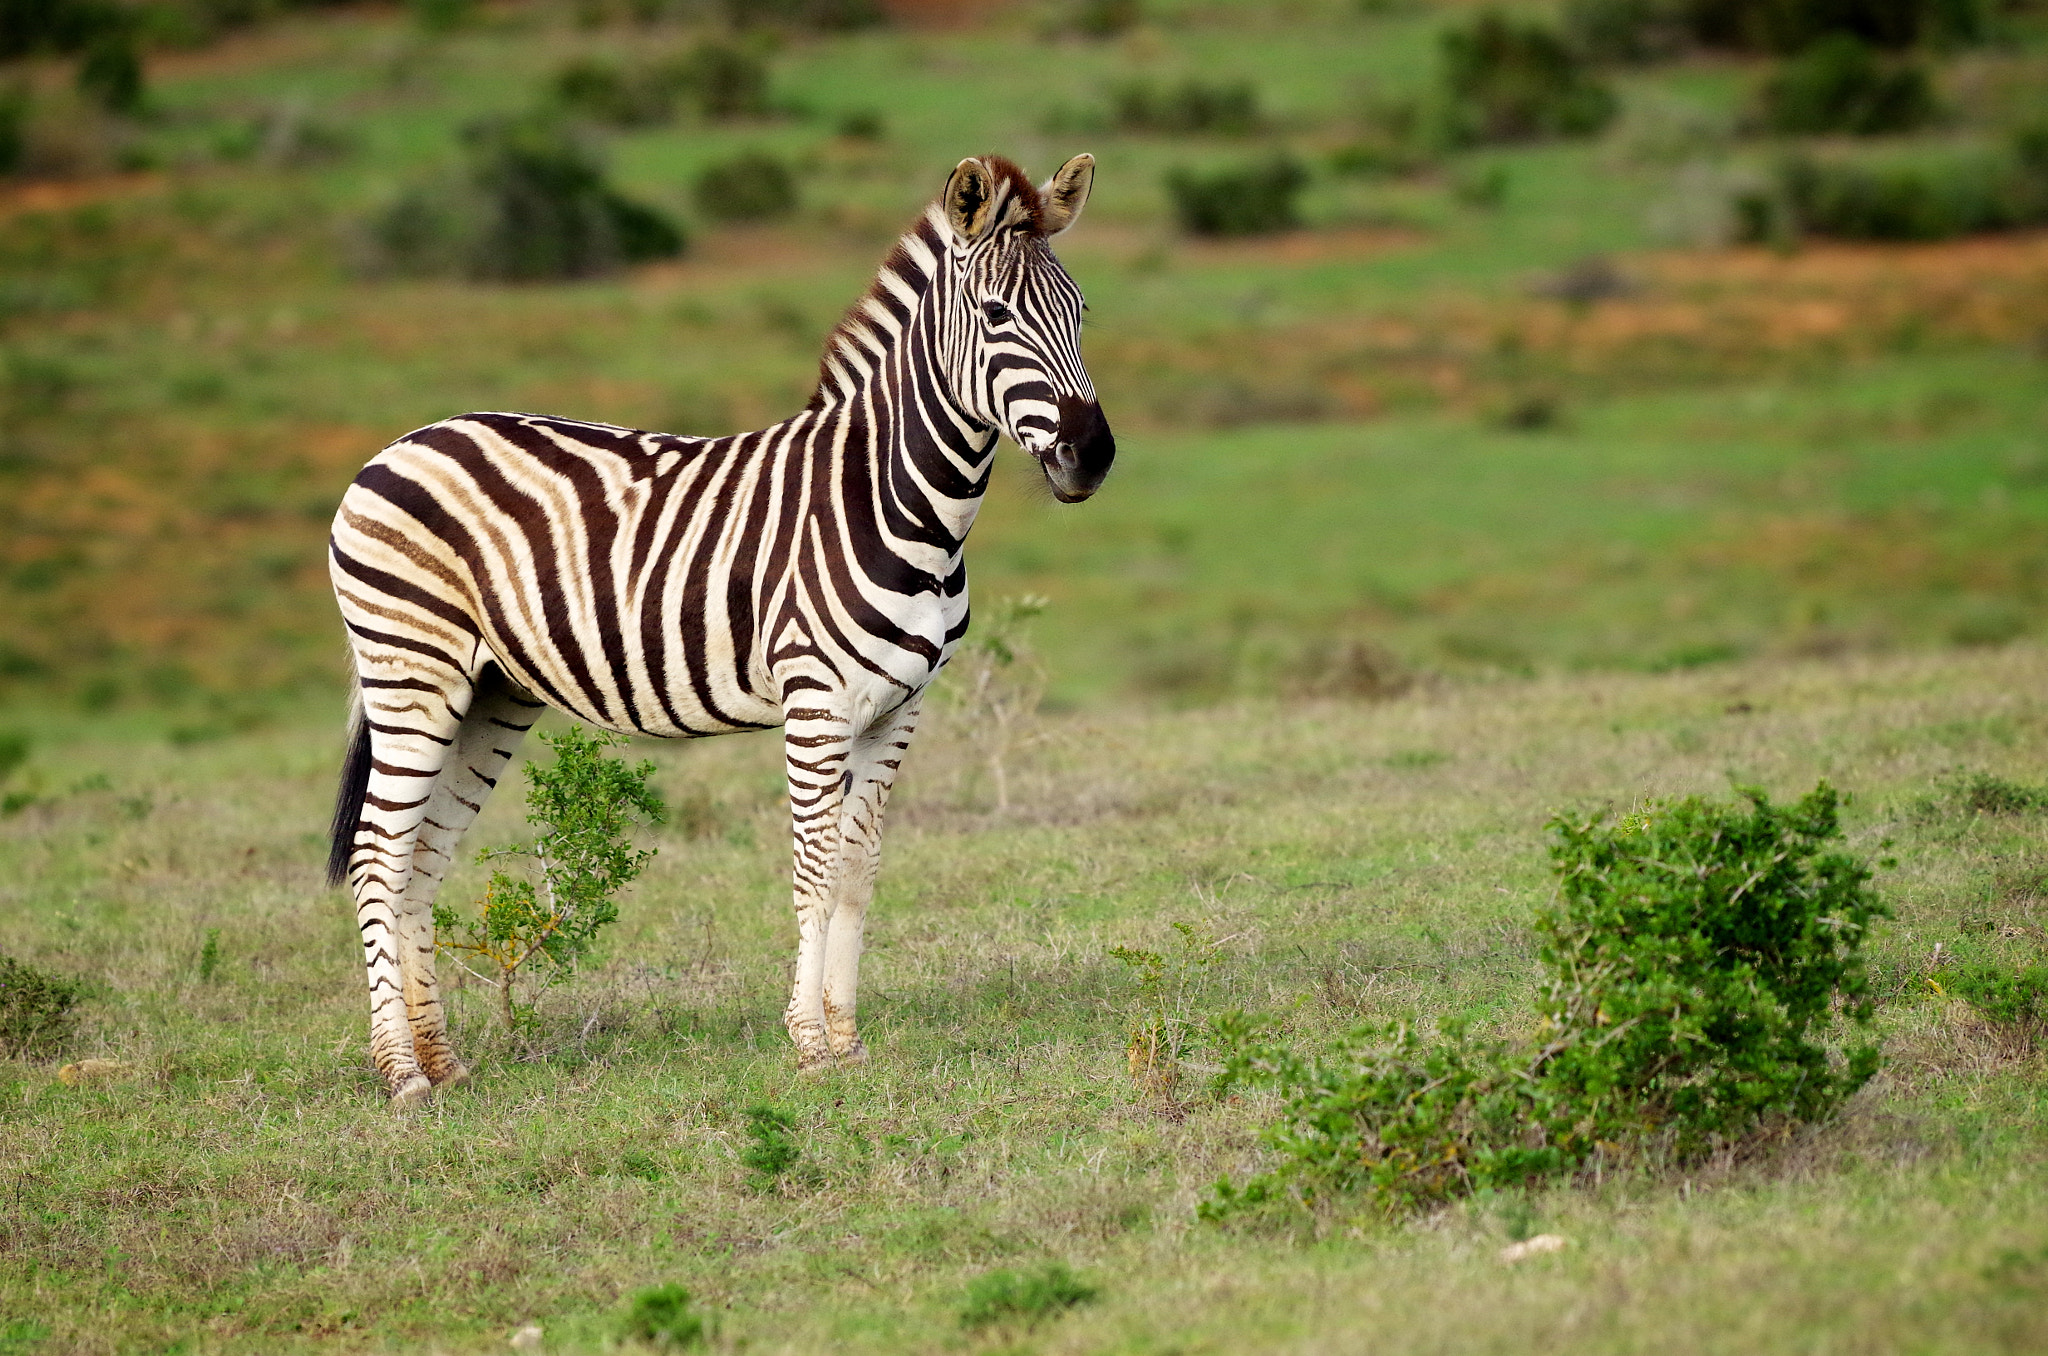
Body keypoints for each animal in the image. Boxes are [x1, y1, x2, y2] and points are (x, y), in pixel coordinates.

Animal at [327, 153, 1114, 1114]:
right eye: (997, 317)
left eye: (1080, 313)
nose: (1091, 456)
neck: (900, 503)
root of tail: (398, 445)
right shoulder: (816, 702)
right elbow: (813, 870)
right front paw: (809, 1044)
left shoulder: (900, 710)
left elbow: (858, 872)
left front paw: (848, 1042)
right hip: (412, 672)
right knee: (376, 856)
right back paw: (401, 1073)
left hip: (488, 694)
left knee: (423, 858)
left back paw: (441, 1060)